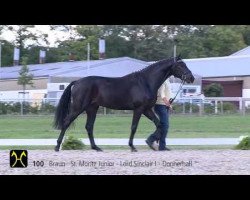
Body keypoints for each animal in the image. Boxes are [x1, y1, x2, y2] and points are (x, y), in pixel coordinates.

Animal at [54, 56, 195, 152]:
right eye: (180, 65)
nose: (191, 78)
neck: (145, 82)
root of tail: (77, 82)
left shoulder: (147, 110)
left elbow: (159, 124)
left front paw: (153, 143)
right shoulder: (139, 109)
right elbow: (134, 127)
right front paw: (133, 147)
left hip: (92, 108)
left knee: (89, 127)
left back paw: (96, 147)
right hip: (78, 108)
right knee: (66, 122)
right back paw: (57, 146)